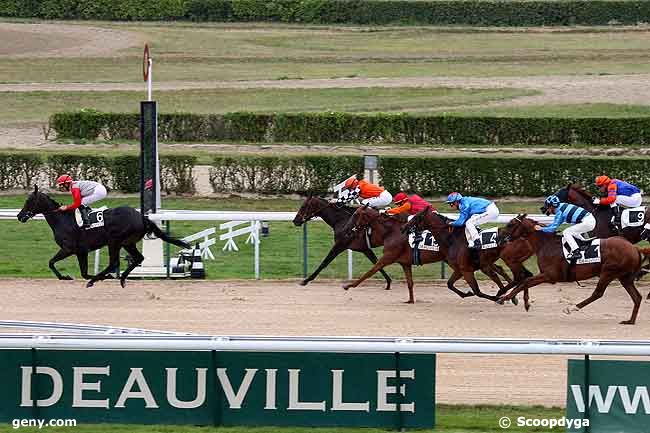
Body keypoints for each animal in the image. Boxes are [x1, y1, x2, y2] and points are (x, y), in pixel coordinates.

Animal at [17, 185, 190, 286]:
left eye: (29, 200)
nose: (20, 216)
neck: (62, 219)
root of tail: (141, 217)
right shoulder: (81, 251)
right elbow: (83, 273)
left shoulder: (68, 249)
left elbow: (51, 263)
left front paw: (65, 277)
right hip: (128, 243)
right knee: (138, 258)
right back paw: (121, 278)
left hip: (114, 241)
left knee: (114, 262)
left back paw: (99, 280)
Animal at [498, 213, 644, 324]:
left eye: (510, 224)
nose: (499, 236)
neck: (546, 244)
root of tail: (634, 247)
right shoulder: (546, 275)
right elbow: (525, 281)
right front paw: (525, 303)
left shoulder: (550, 276)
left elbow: (525, 282)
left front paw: (505, 298)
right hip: (624, 277)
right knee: (637, 297)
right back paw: (630, 321)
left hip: (608, 272)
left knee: (598, 293)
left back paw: (572, 308)